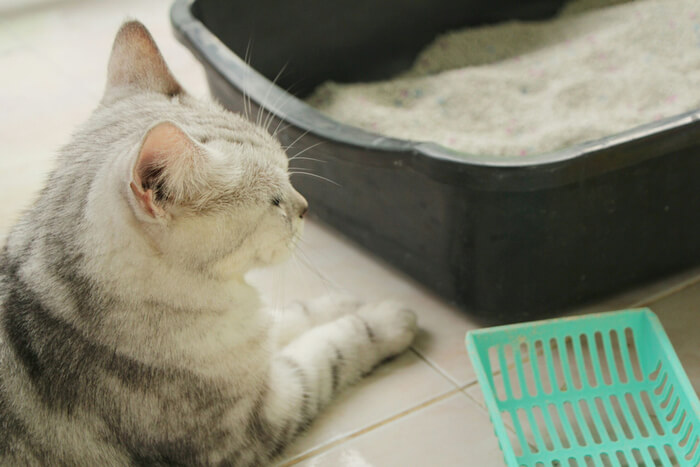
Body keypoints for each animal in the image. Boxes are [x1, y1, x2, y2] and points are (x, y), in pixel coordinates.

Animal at [0, 20, 416, 466]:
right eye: (274, 202)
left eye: (288, 173)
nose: (306, 207)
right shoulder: (256, 421)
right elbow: (330, 351)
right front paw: (386, 318)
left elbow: (290, 318)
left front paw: (339, 302)